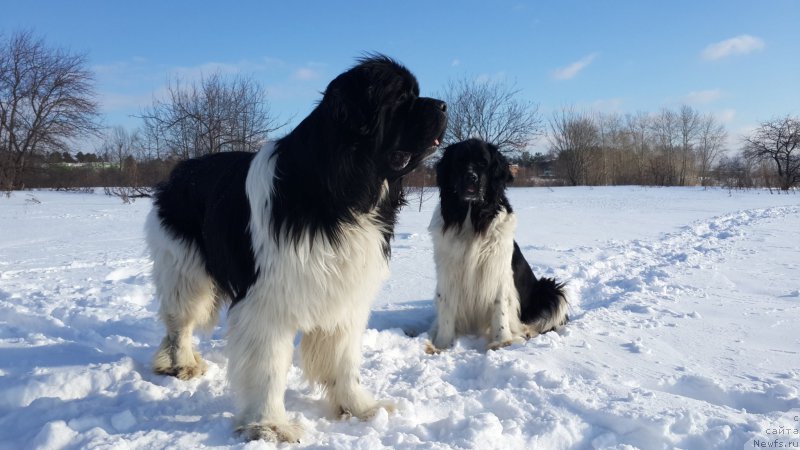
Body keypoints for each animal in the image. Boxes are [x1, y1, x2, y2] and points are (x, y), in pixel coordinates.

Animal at [144, 54, 444, 442]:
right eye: (400, 97)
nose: (443, 105)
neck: (342, 189)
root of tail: (179, 171)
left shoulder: (345, 291)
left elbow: (345, 359)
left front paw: (360, 407)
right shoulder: (267, 302)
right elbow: (269, 367)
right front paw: (270, 424)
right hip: (186, 272)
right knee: (179, 324)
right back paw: (182, 364)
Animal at [424, 139, 568, 354]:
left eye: (484, 163)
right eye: (459, 161)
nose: (471, 177)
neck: (471, 219)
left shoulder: (497, 270)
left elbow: (500, 306)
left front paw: (502, 342)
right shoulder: (448, 272)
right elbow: (446, 307)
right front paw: (441, 345)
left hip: (550, 289)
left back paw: (525, 331)